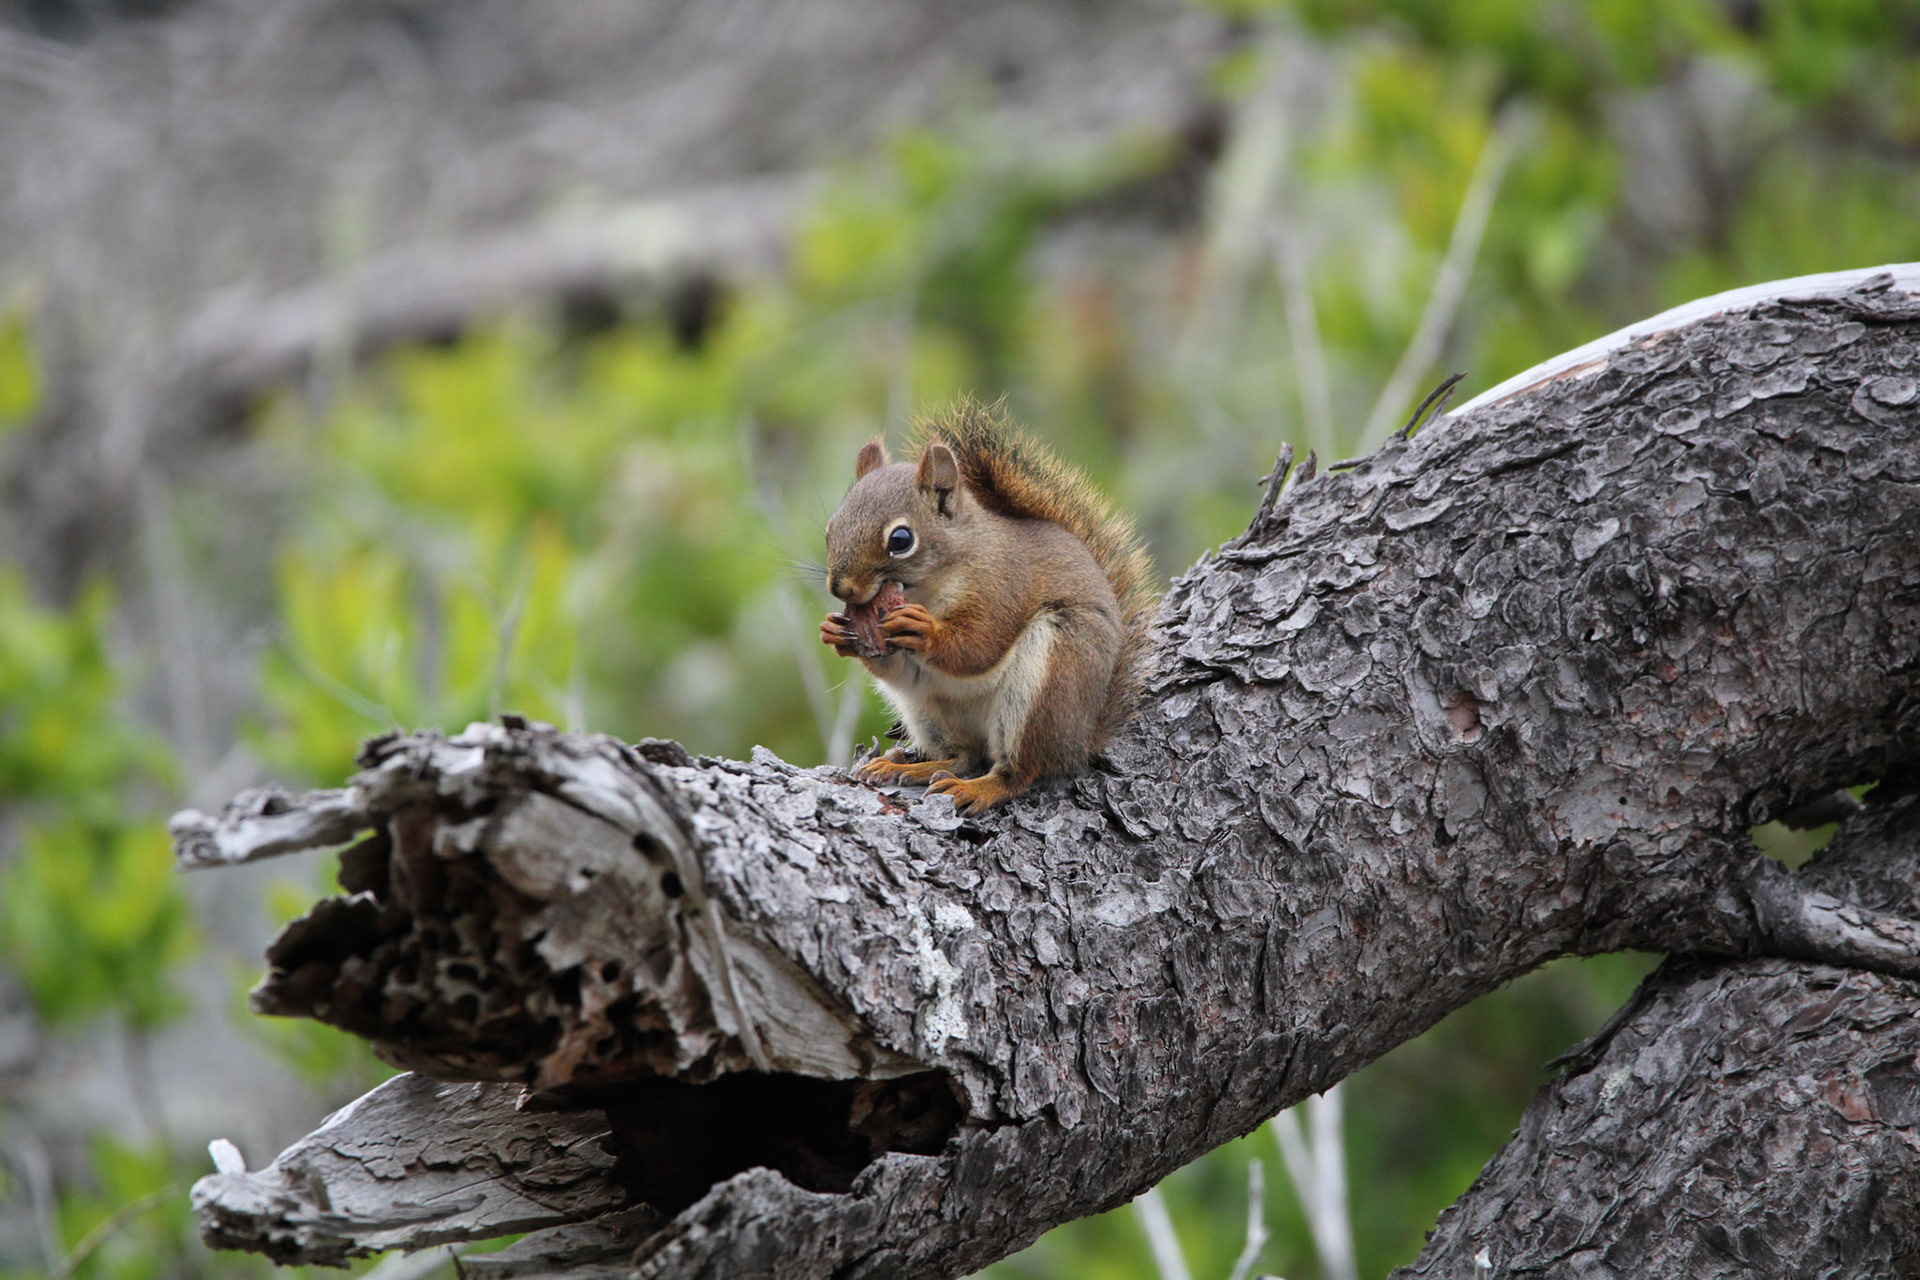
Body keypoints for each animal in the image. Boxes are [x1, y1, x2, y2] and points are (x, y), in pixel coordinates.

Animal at [818, 400, 1153, 813]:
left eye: (900, 540)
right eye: (831, 530)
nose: (840, 587)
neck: (930, 590)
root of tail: (1081, 739)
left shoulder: (1003, 587)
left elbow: (980, 646)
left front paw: (924, 631)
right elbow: (899, 668)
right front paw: (836, 632)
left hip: (1050, 680)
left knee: (1019, 771)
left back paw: (977, 788)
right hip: (928, 710)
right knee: (963, 755)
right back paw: (909, 767)